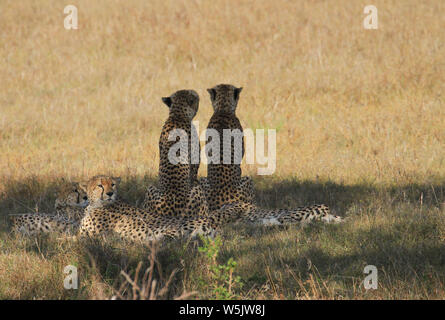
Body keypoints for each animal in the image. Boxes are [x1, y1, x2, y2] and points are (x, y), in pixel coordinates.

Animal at [142, 90, 208, 218]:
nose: (197, 93)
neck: (178, 115)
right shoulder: (194, 169)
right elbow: (195, 176)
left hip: (149, 189)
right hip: (196, 193)